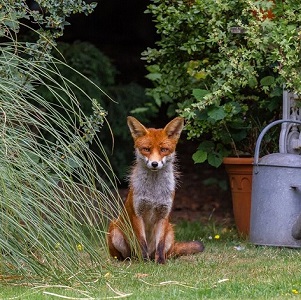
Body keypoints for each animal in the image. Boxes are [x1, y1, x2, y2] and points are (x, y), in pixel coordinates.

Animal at [106, 116, 203, 264]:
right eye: (146, 149)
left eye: (163, 149)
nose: (154, 164)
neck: (154, 192)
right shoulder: (137, 213)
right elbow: (142, 243)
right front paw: (144, 262)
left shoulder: (164, 214)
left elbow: (160, 245)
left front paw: (161, 262)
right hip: (115, 232)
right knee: (126, 255)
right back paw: (133, 260)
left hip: (170, 233)